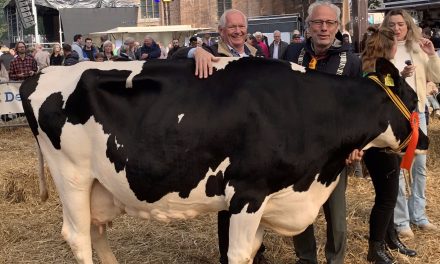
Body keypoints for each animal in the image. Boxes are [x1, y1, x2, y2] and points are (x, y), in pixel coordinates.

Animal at [19, 57, 426, 264]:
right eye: (414, 100)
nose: (424, 141)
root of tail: (44, 72)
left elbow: (252, 253)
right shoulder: (248, 194)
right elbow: (239, 253)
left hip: (99, 185)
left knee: (96, 231)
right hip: (71, 175)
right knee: (77, 236)